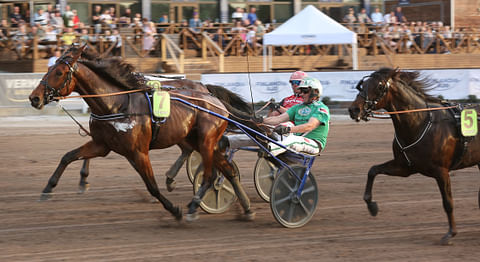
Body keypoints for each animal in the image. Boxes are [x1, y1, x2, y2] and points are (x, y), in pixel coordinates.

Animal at [28, 45, 255, 221]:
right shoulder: (102, 145)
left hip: (206, 141)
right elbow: (67, 157)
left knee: (209, 175)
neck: (115, 105)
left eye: (58, 73)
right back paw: (246, 209)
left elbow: (152, 185)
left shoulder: (138, 152)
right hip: (200, 140)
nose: (34, 98)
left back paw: (193, 205)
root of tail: (212, 98)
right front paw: (48, 188)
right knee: (227, 170)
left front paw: (174, 210)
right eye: (49, 68)